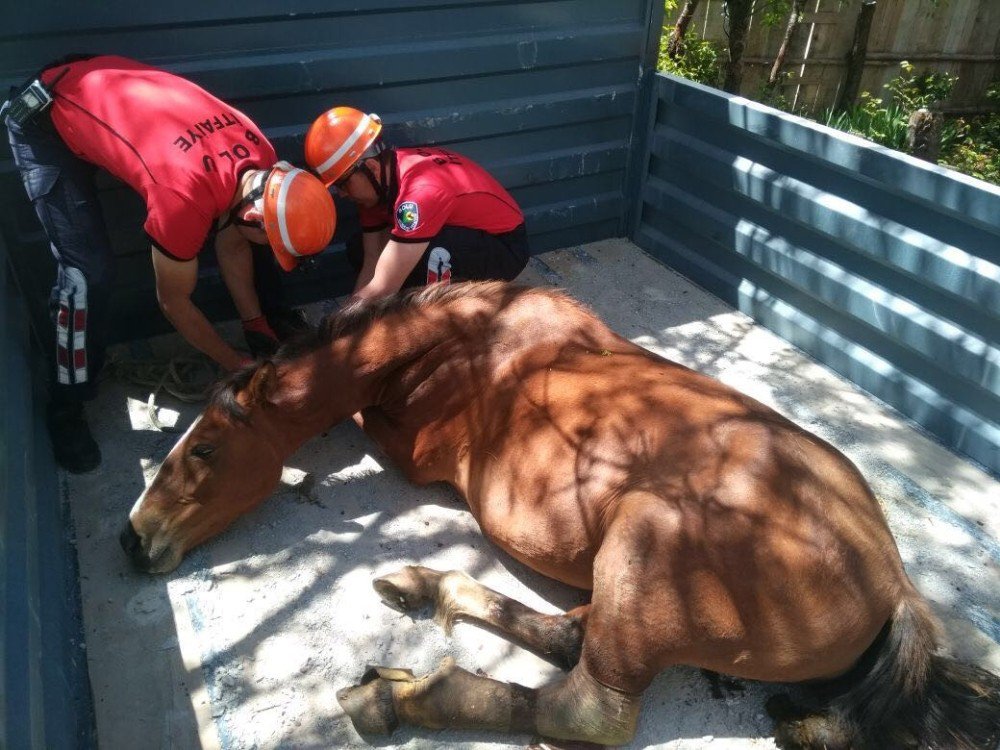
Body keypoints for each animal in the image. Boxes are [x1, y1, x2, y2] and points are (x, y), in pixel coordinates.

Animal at [125, 284, 1000, 750]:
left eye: (204, 449)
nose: (135, 539)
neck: (465, 341)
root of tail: (895, 589)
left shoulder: (410, 451)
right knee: (570, 637)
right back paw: (430, 588)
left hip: (645, 543)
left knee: (589, 705)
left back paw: (403, 697)